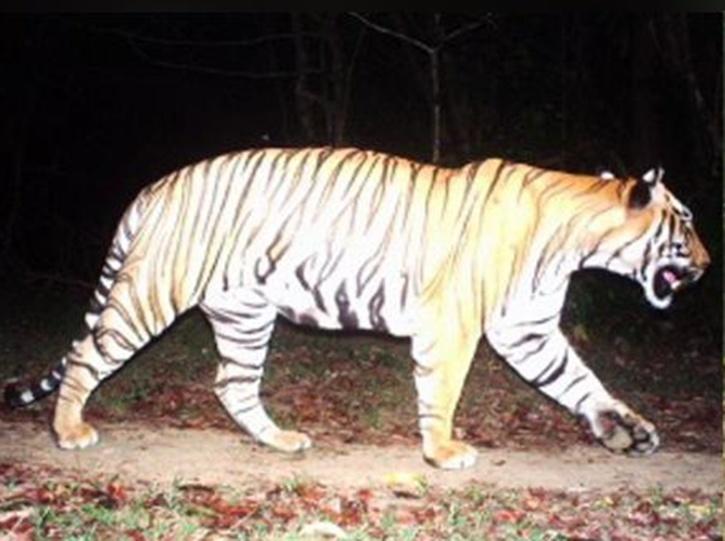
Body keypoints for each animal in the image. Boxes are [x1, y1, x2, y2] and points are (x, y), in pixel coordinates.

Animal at [4, 147, 710, 469]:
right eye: (685, 223)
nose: (706, 265)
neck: (573, 240)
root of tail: (155, 186)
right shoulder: (455, 322)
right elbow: (443, 391)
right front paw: (442, 451)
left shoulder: (529, 329)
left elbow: (581, 381)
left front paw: (628, 430)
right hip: (154, 293)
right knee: (86, 354)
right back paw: (68, 432)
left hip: (244, 314)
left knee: (232, 383)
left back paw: (281, 440)